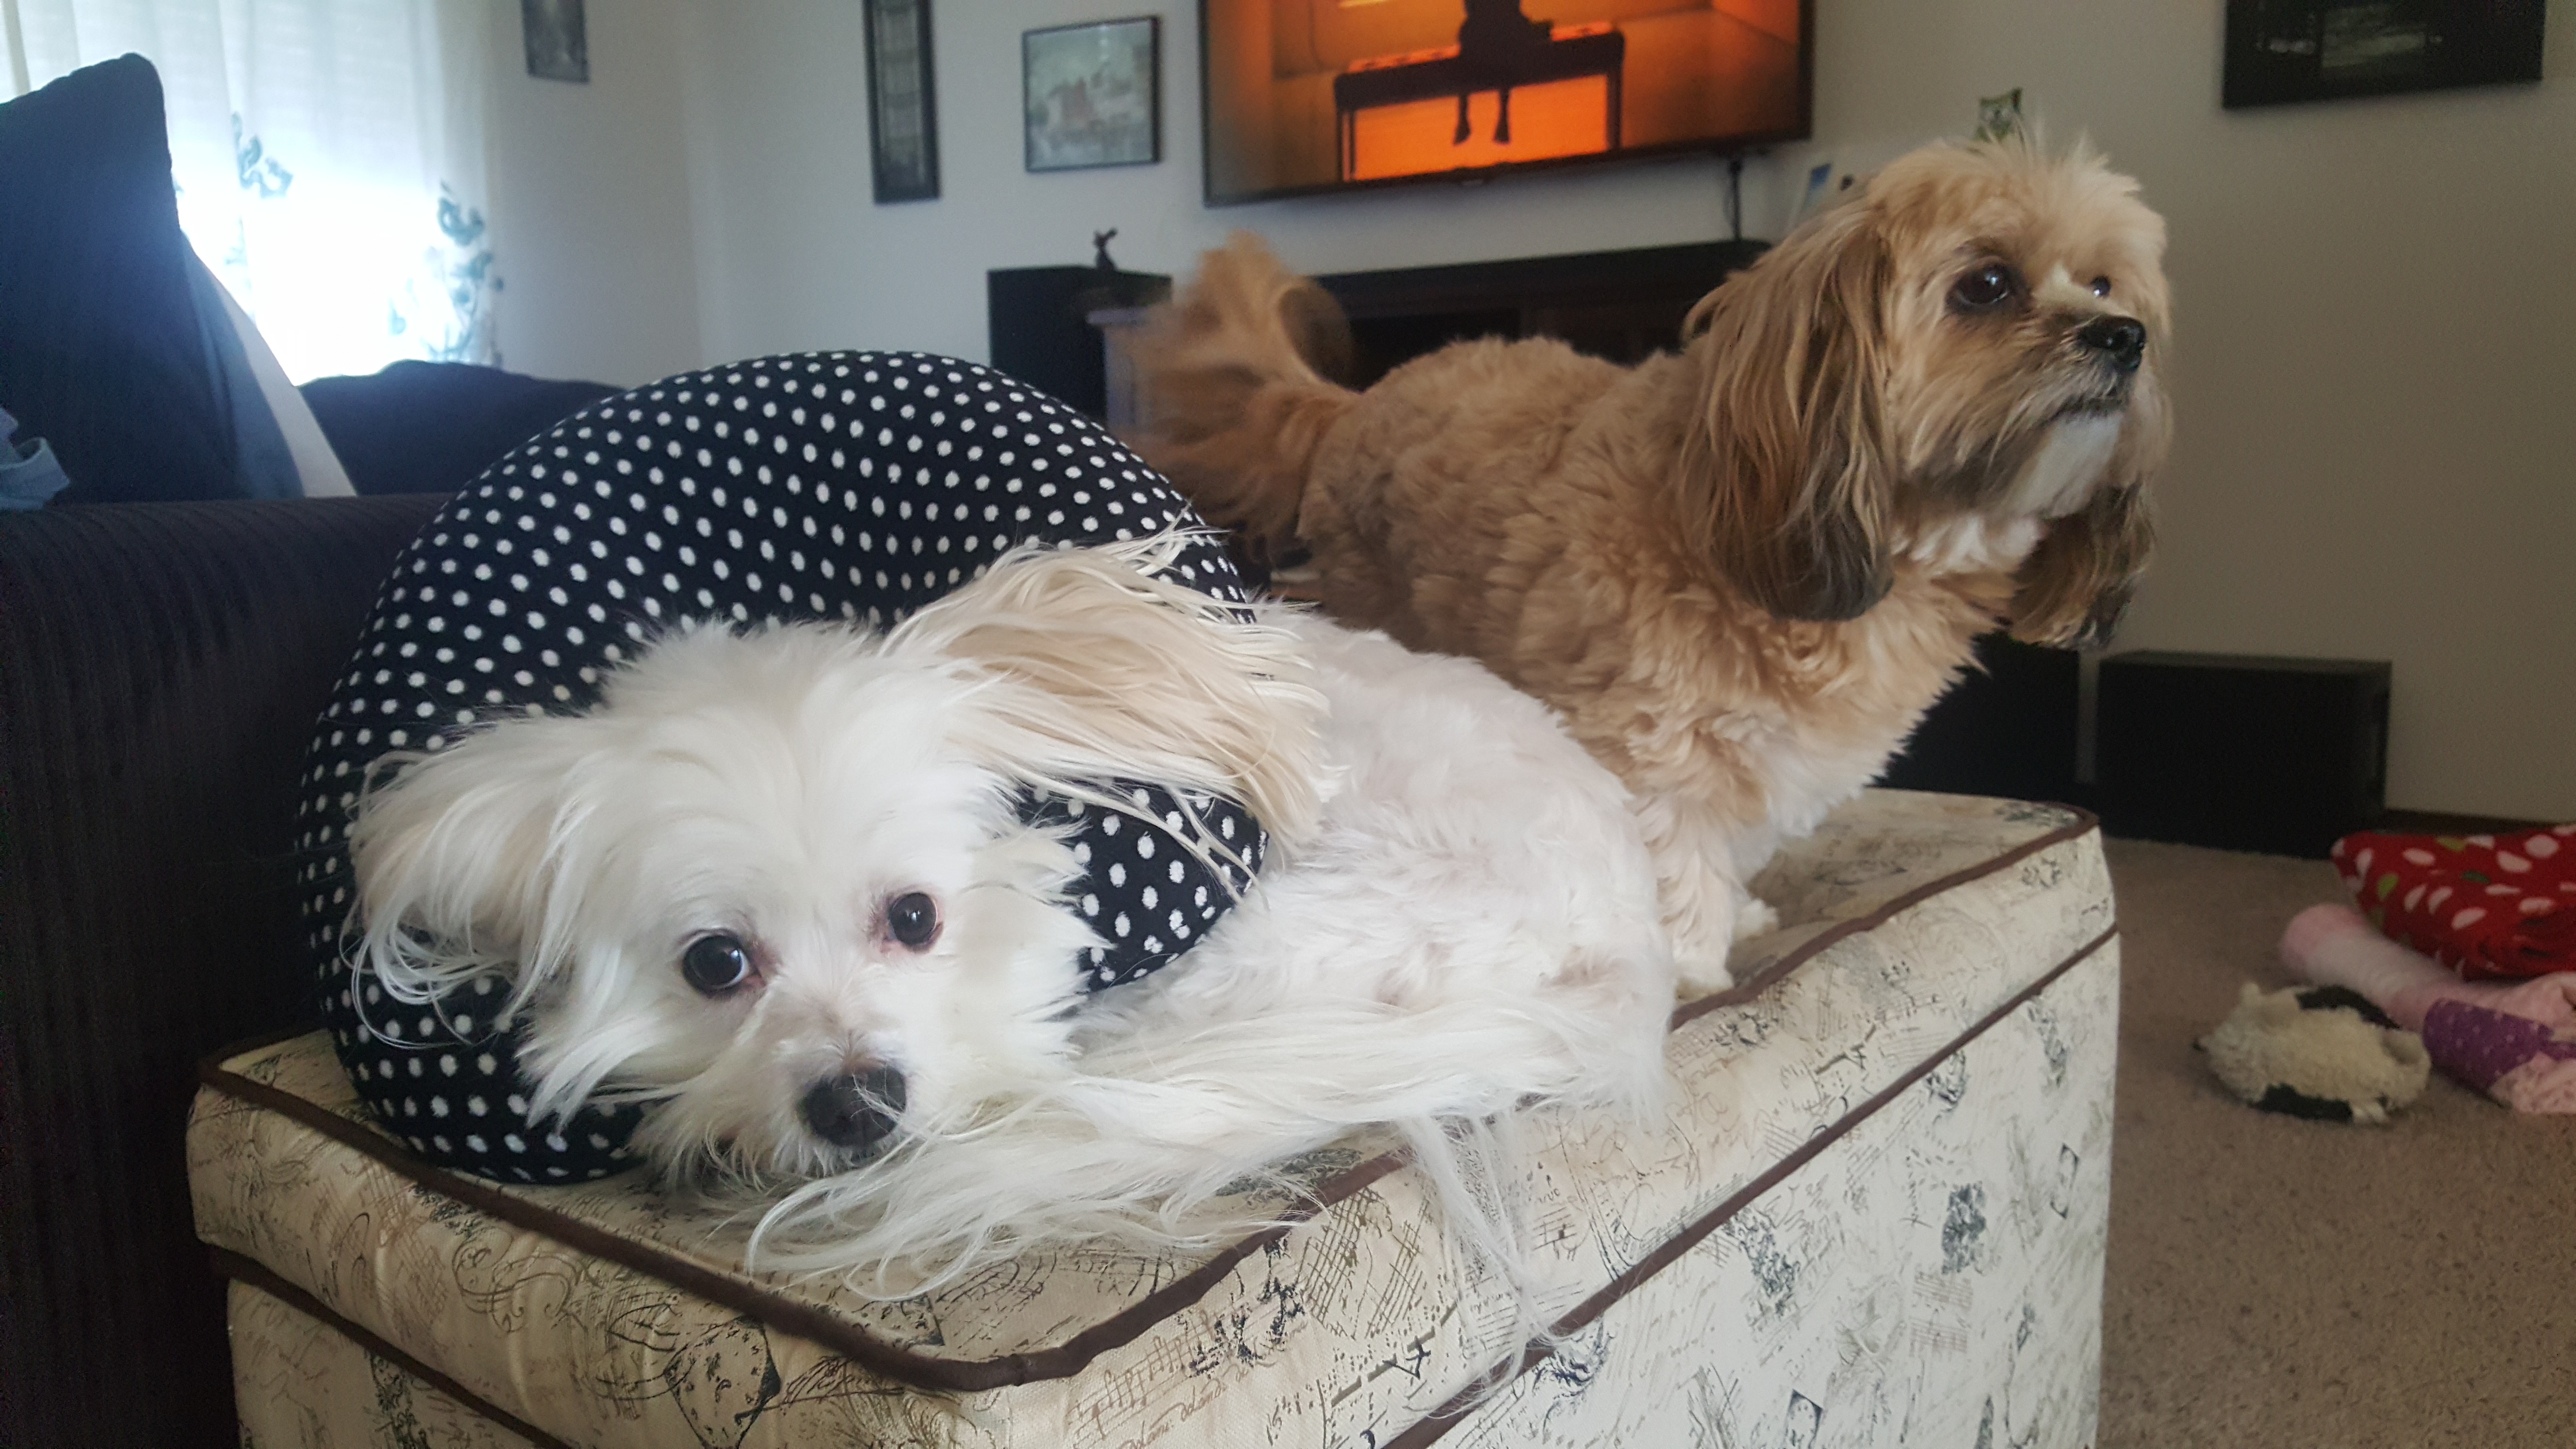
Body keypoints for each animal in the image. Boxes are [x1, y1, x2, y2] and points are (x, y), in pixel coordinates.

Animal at [1132, 137, 2171, 989]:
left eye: (2103, 285)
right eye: (1985, 285)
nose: (2124, 339)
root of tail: (1356, 400)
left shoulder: (1767, 768)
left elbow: (1733, 846)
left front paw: (1740, 915)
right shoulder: (1645, 750)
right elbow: (1673, 868)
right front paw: (1689, 973)